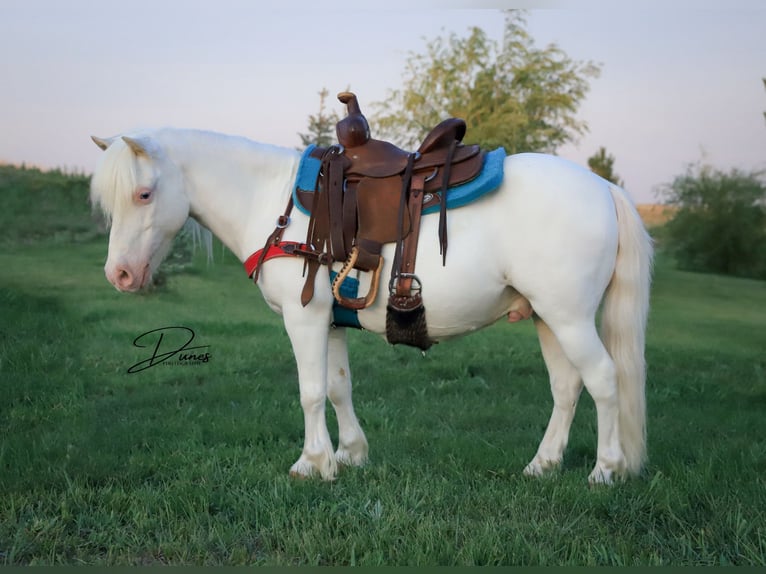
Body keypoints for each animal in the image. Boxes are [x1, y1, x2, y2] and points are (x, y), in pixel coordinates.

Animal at [89, 127, 653, 485]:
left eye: (143, 194)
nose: (119, 275)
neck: (274, 201)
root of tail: (605, 188)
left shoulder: (304, 318)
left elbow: (311, 391)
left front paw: (313, 463)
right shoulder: (330, 321)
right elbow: (339, 387)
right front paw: (351, 455)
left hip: (569, 318)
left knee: (604, 380)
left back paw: (606, 470)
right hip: (546, 317)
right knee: (567, 387)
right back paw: (543, 465)